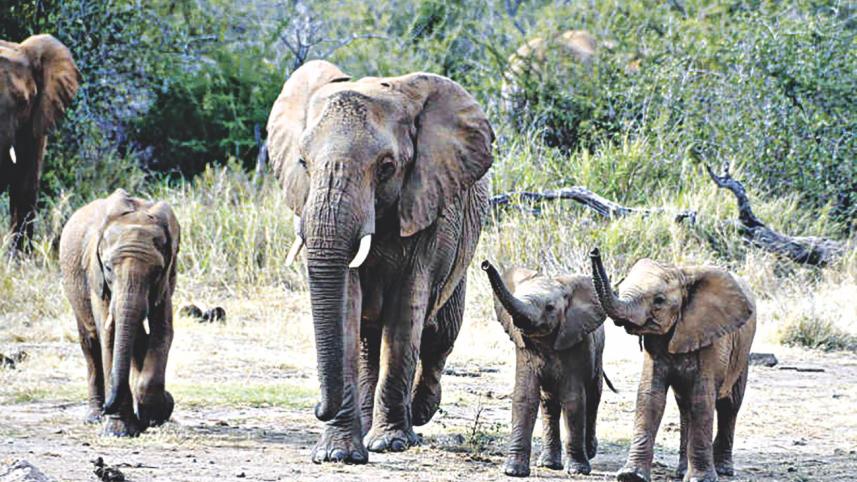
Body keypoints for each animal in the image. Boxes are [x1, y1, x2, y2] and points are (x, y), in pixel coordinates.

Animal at [59, 189, 180, 437]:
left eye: (156, 271)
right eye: (107, 268)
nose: (108, 407)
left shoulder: (166, 279)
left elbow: (162, 330)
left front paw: (155, 413)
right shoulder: (95, 276)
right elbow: (110, 335)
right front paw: (119, 431)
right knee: (90, 344)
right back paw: (95, 417)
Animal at [266, 60, 493, 464]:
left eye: (387, 167)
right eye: (303, 163)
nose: (318, 408)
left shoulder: (428, 209)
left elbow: (406, 314)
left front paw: (389, 444)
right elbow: (347, 306)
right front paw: (338, 455)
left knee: (440, 335)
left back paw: (417, 415)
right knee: (369, 342)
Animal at [481, 260, 611, 477]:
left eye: (550, 307)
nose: (485, 264)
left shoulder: (577, 344)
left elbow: (573, 399)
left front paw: (577, 471)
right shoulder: (524, 349)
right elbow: (525, 397)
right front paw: (513, 471)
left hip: (599, 357)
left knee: (593, 398)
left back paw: (589, 452)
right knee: (549, 404)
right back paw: (549, 464)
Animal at [589, 248, 756, 482]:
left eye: (659, 300)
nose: (594, 251)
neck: (683, 274)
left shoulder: (713, 337)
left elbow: (702, 397)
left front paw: (701, 480)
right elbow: (650, 395)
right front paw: (631, 476)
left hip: (742, 355)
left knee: (729, 406)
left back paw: (722, 470)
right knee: (685, 407)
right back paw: (682, 472)